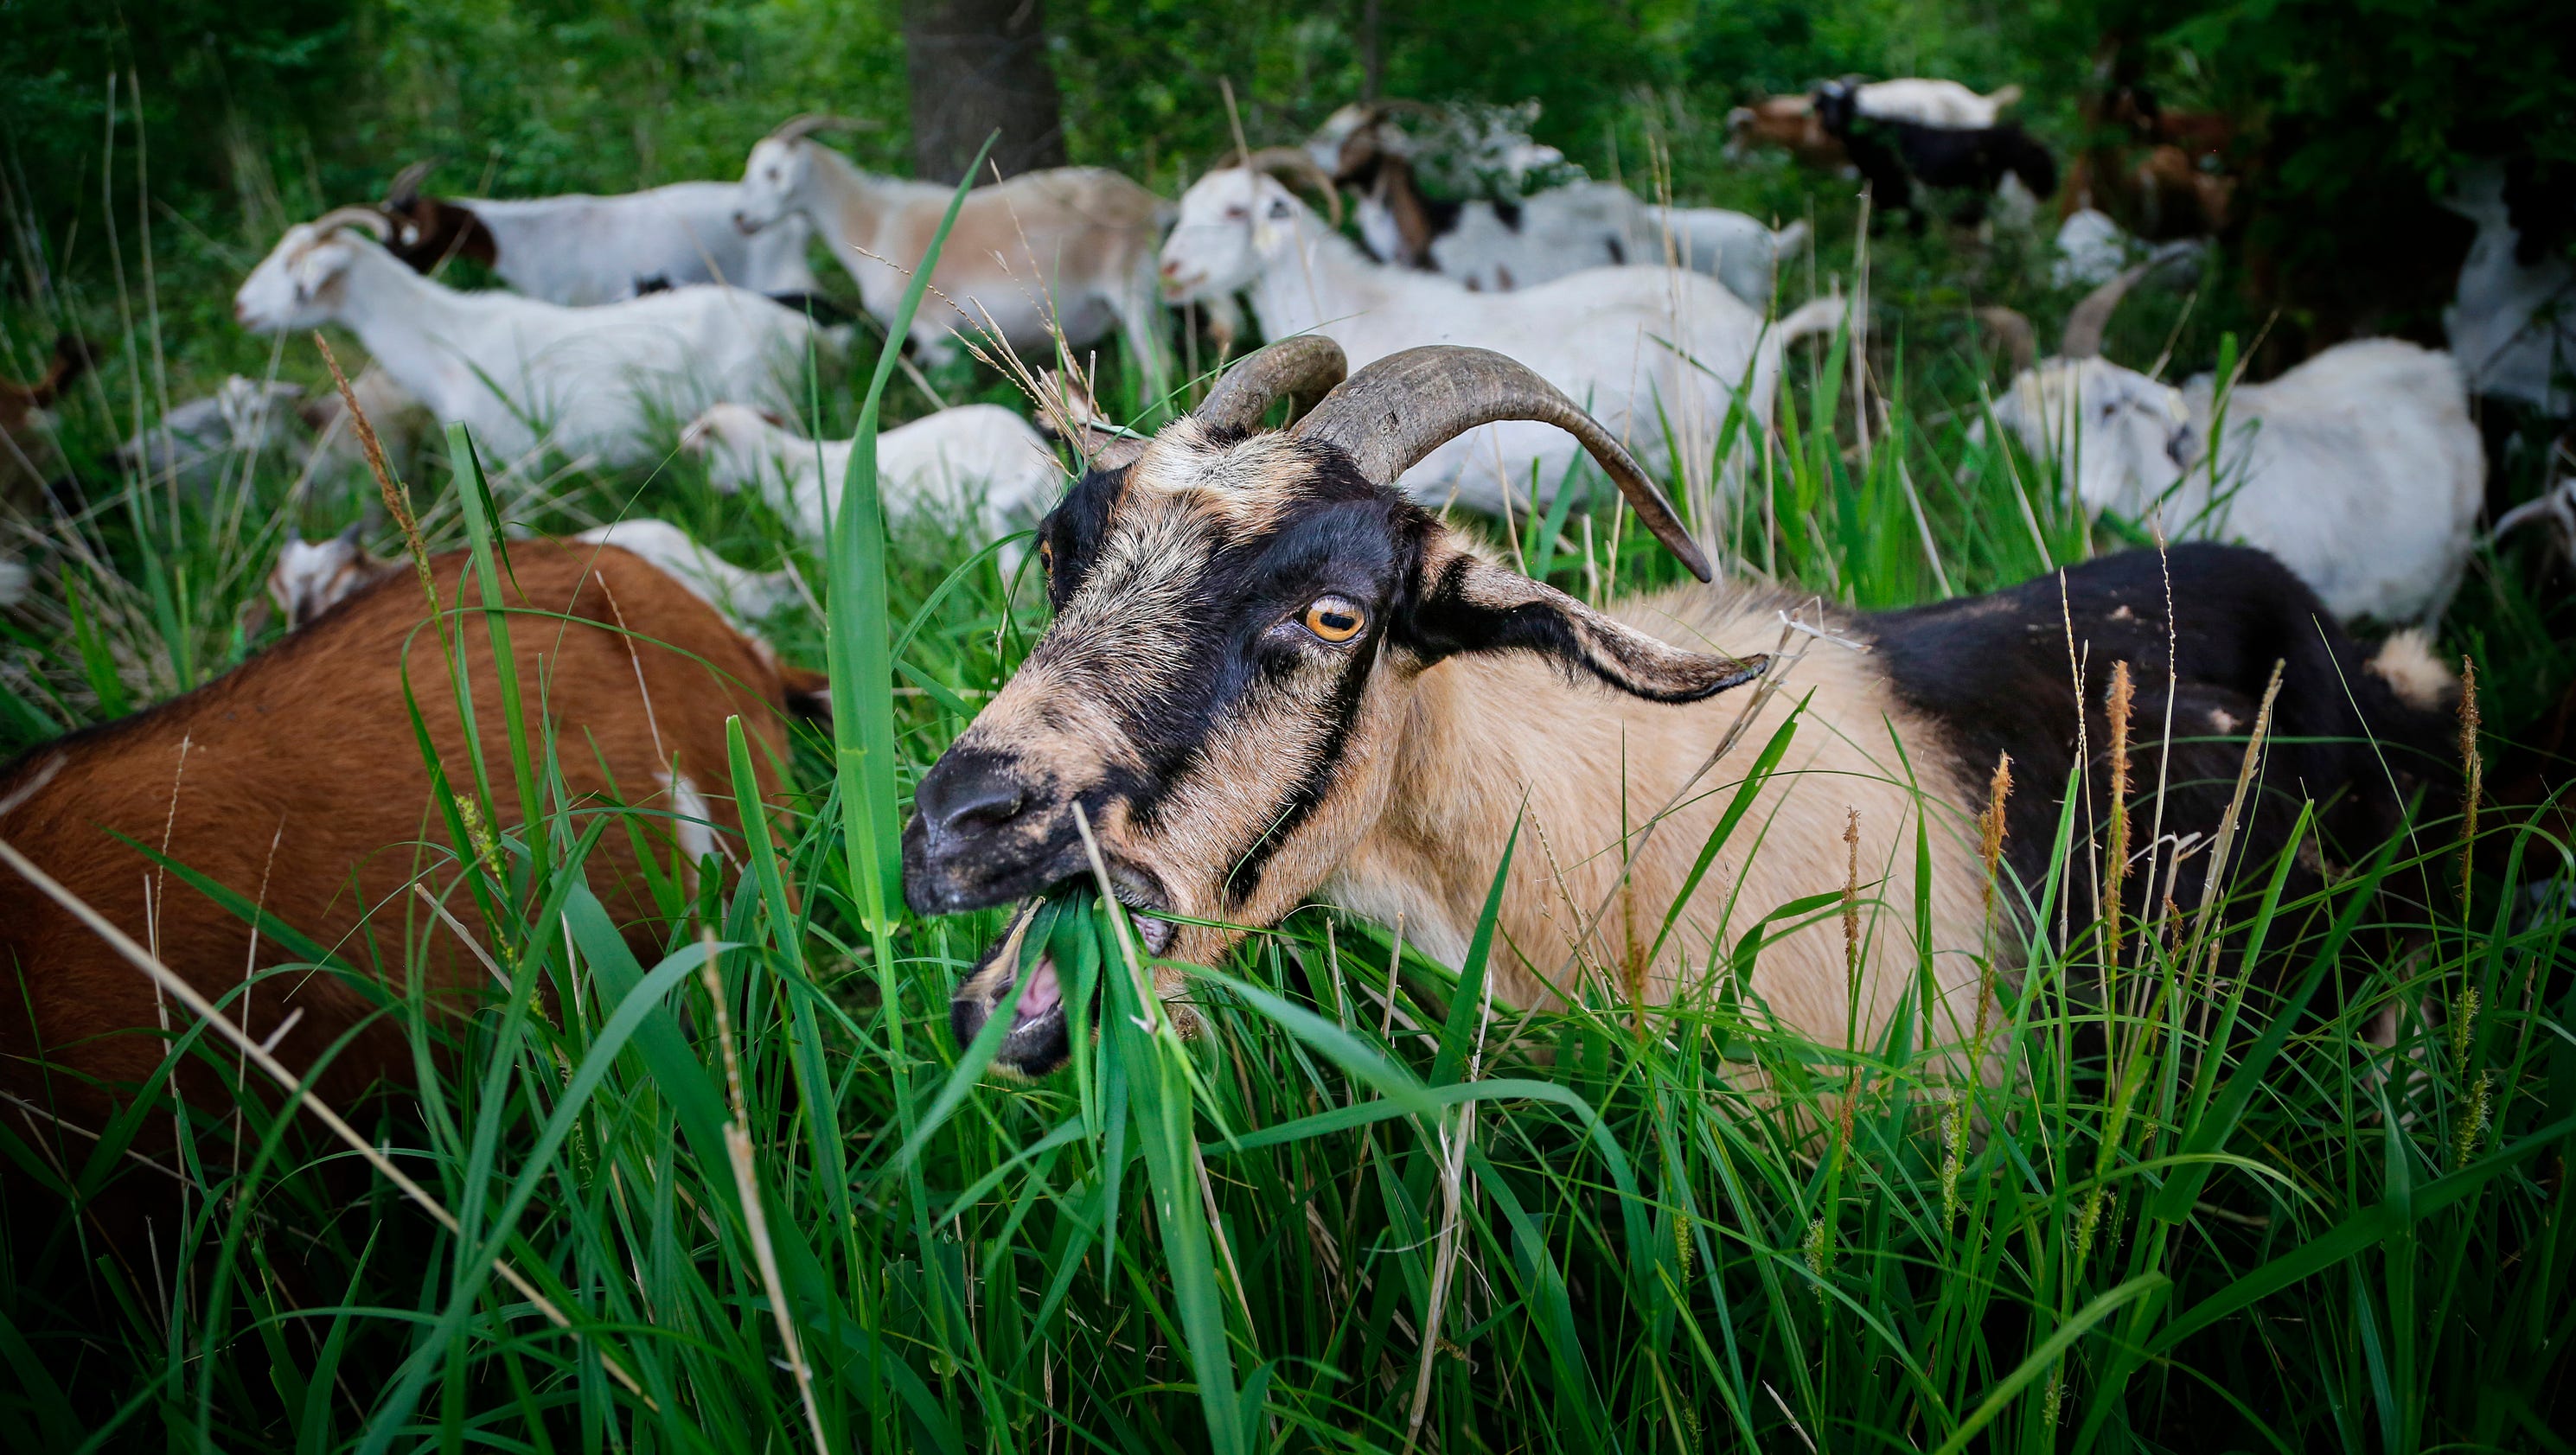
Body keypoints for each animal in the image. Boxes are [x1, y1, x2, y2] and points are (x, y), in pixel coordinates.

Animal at [235, 204, 824, 463]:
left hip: (770, 399)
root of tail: (795, 326)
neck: (448, 339)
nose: (240, 307)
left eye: (293, 268)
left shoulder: (515, 462)